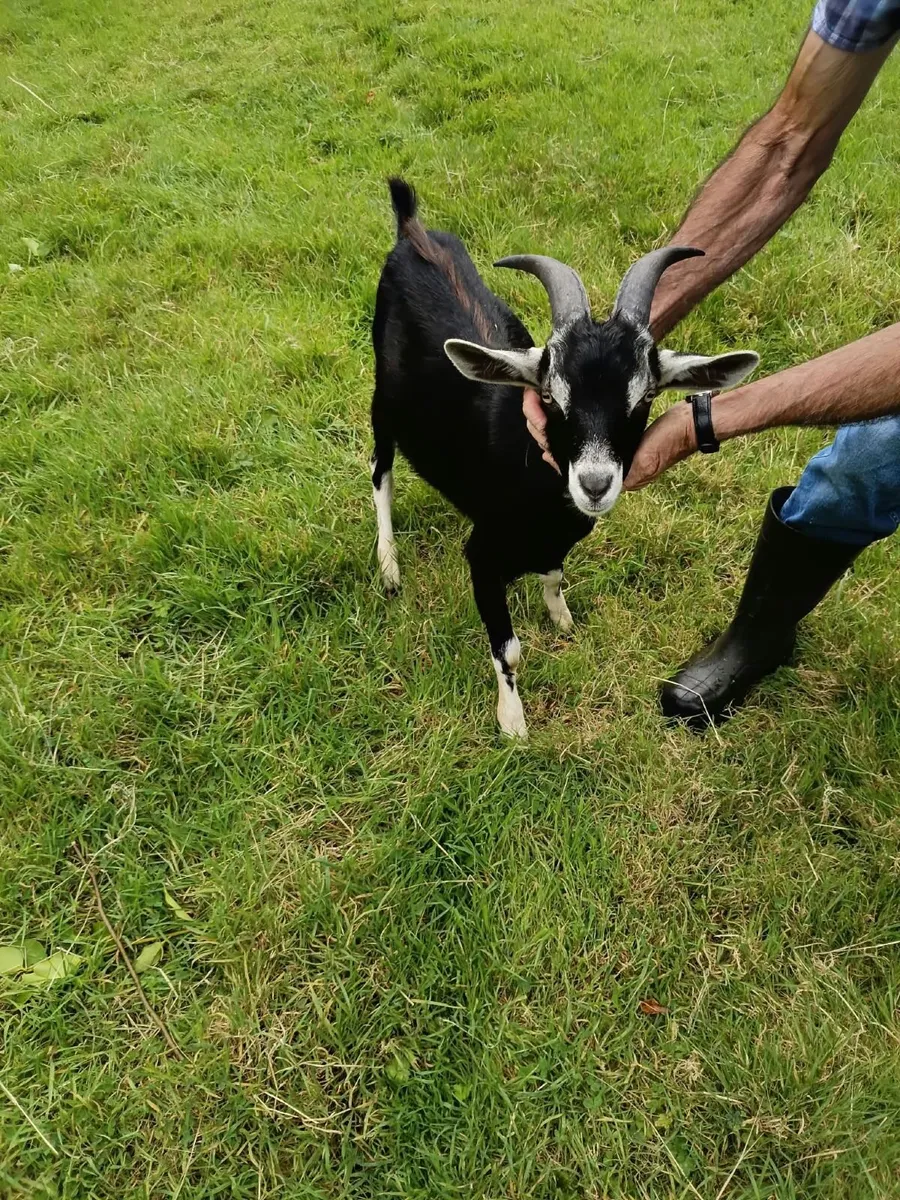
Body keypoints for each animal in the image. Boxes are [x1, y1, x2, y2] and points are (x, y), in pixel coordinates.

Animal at [371, 179, 758, 737]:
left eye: (644, 397)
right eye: (551, 396)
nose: (594, 484)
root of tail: (412, 232)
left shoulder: (557, 541)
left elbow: (554, 575)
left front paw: (562, 619)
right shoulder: (482, 556)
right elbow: (509, 650)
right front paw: (513, 724)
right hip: (383, 398)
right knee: (380, 472)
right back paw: (389, 567)